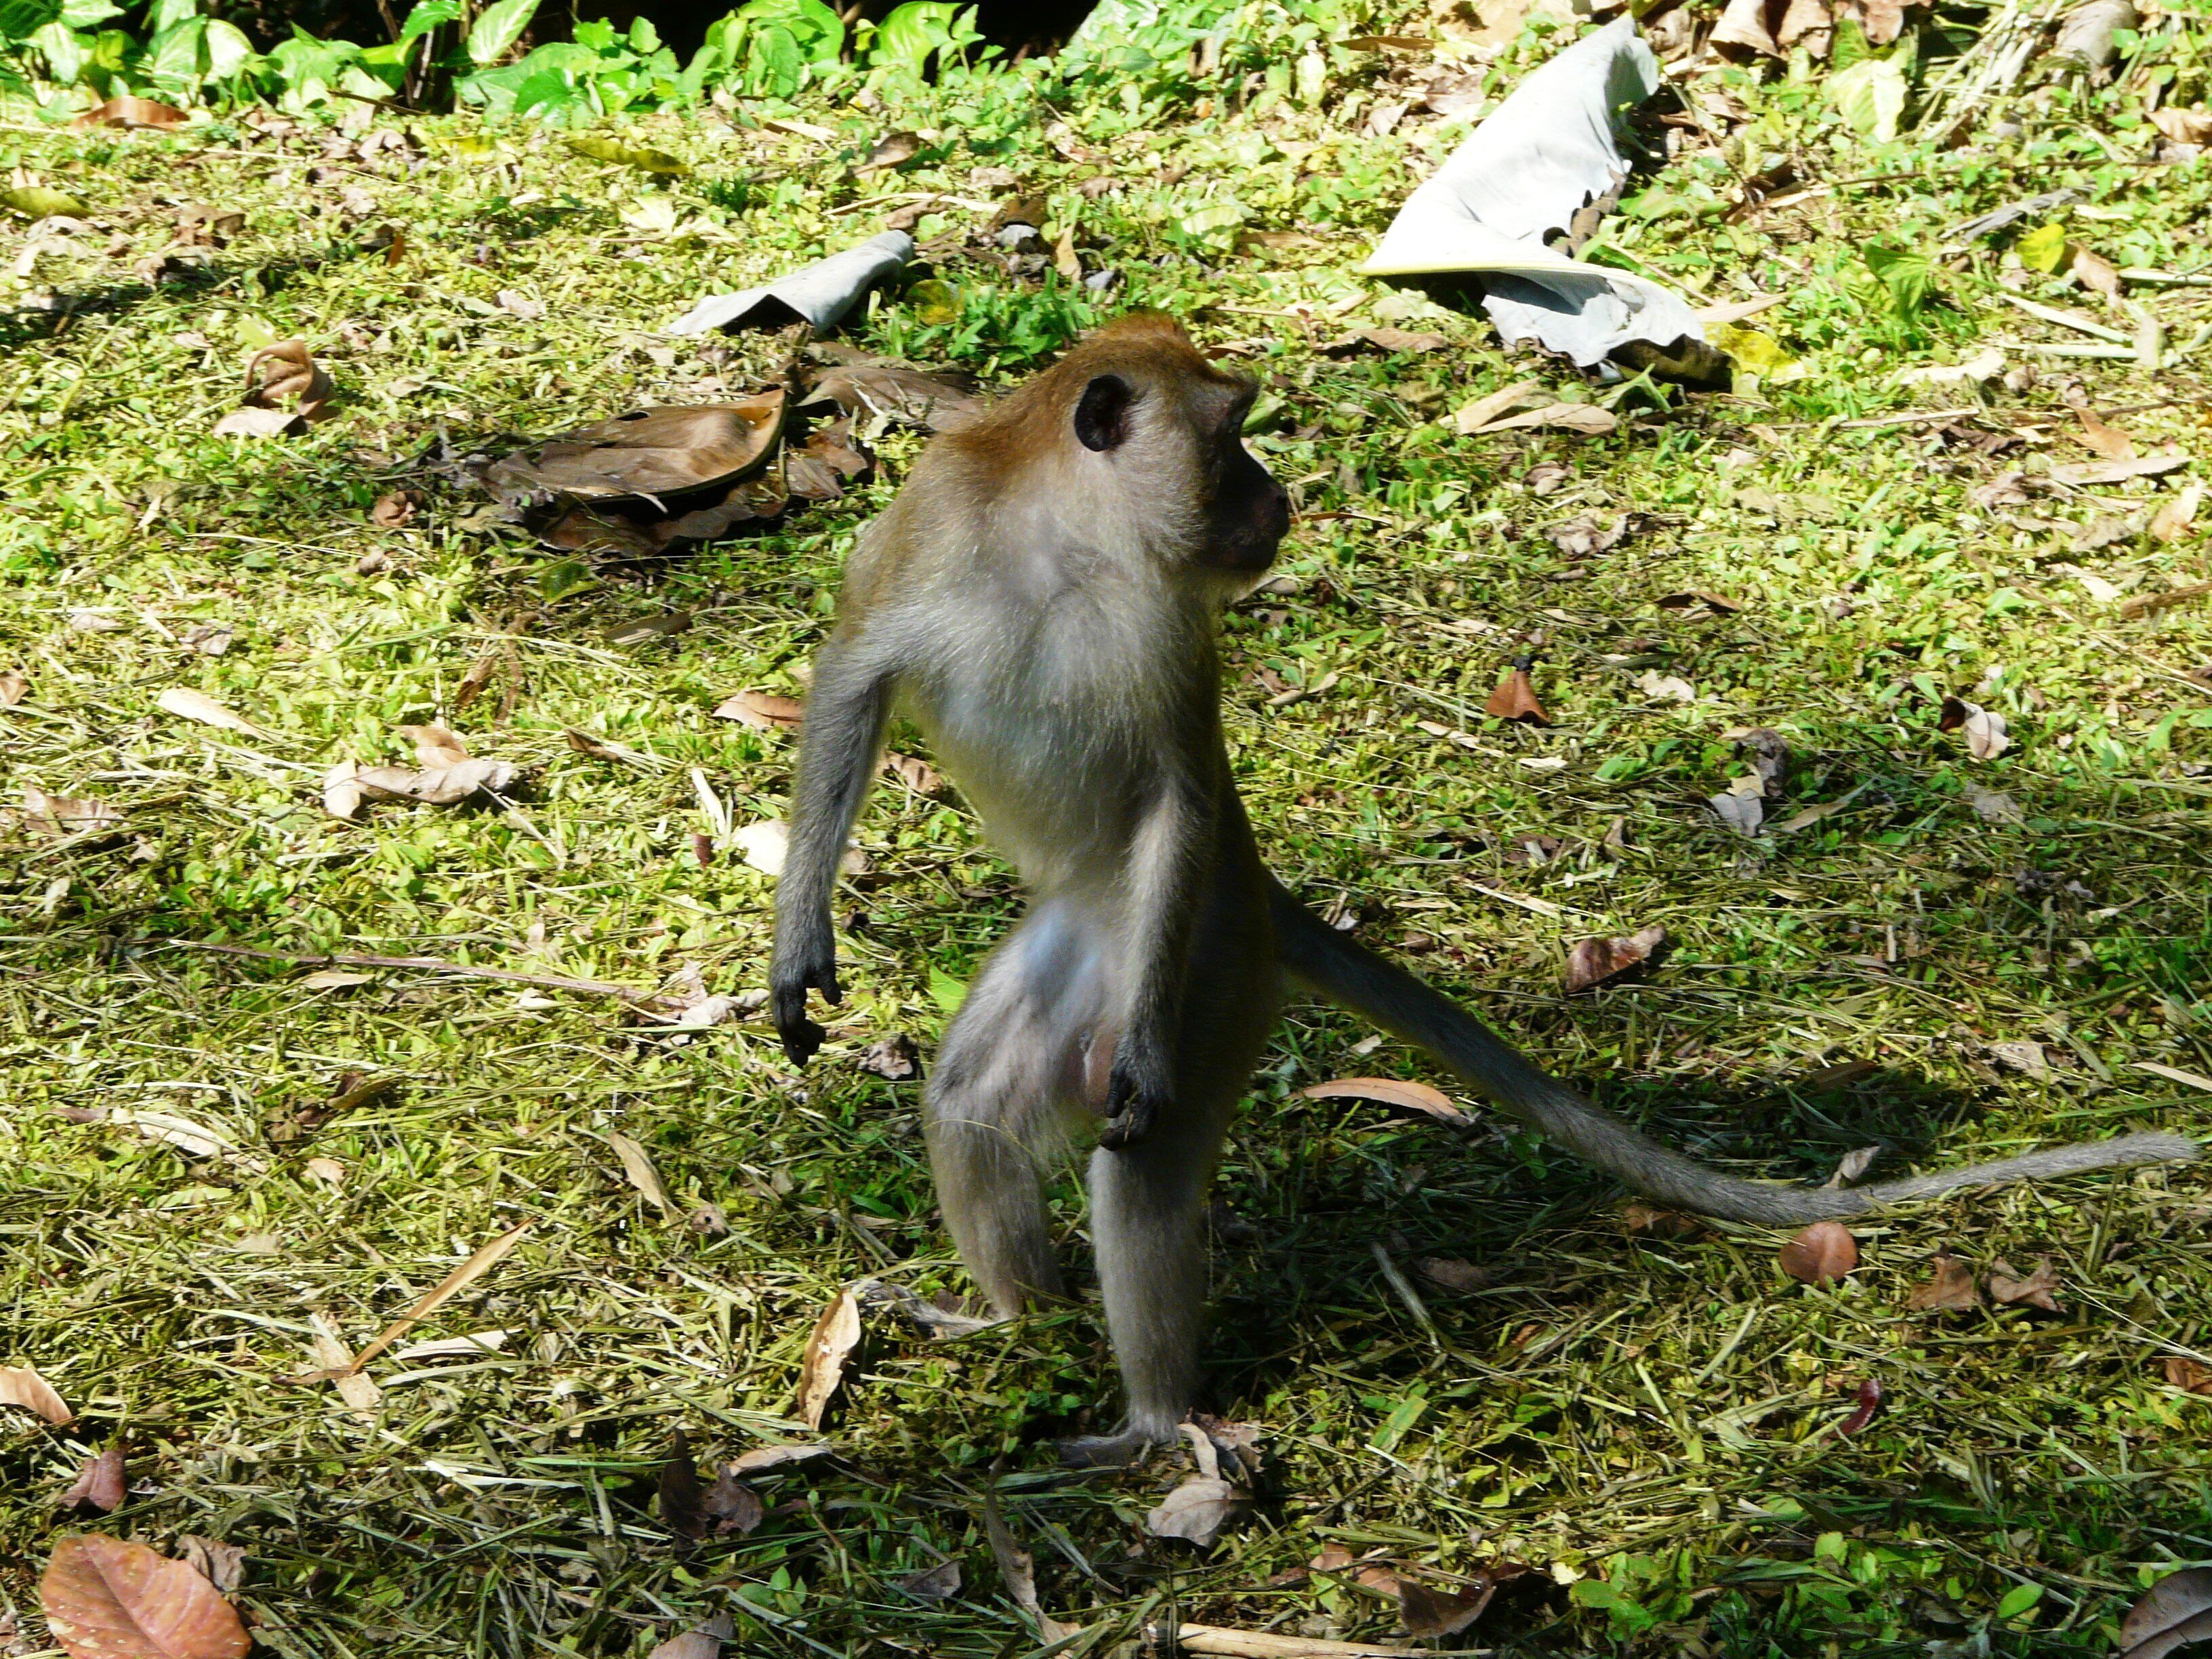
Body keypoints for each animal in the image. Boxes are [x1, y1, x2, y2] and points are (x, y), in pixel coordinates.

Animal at [769, 312, 2201, 1466]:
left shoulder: (1164, 644)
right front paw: (796, 947)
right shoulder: (926, 537)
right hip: (1103, 942)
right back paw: (1005, 1316)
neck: (1063, 548)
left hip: (1188, 958)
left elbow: (1174, 793)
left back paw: (1153, 1416)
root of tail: (1255, 897)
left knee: (1141, 1160)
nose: (1275, 497)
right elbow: (851, 680)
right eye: (1230, 438)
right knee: (972, 1099)